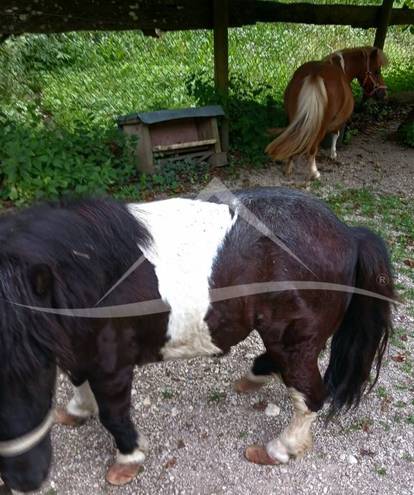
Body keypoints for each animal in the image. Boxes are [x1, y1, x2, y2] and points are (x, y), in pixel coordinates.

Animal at [0, 189, 394, 492]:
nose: (25, 481)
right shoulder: (76, 346)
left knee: (310, 394)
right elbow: (79, 380)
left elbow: (113, 414)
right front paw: (78, 410)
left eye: (32, 374)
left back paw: (280, 448)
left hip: (296, 341)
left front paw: (128, 457)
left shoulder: (112, 366)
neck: (94, 272)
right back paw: (255, 376)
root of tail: (349, 233)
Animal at [266, 47, 388, 180]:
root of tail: (314, 74)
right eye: (376, 71)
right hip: (321, 124)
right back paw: (314, 172)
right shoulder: (340, 120)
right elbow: (336, 134)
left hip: (293, 117)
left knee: (294, 139)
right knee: (312, 147)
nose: (383, 94)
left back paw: (289, 167)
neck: (342, 68)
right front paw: (333, 154)